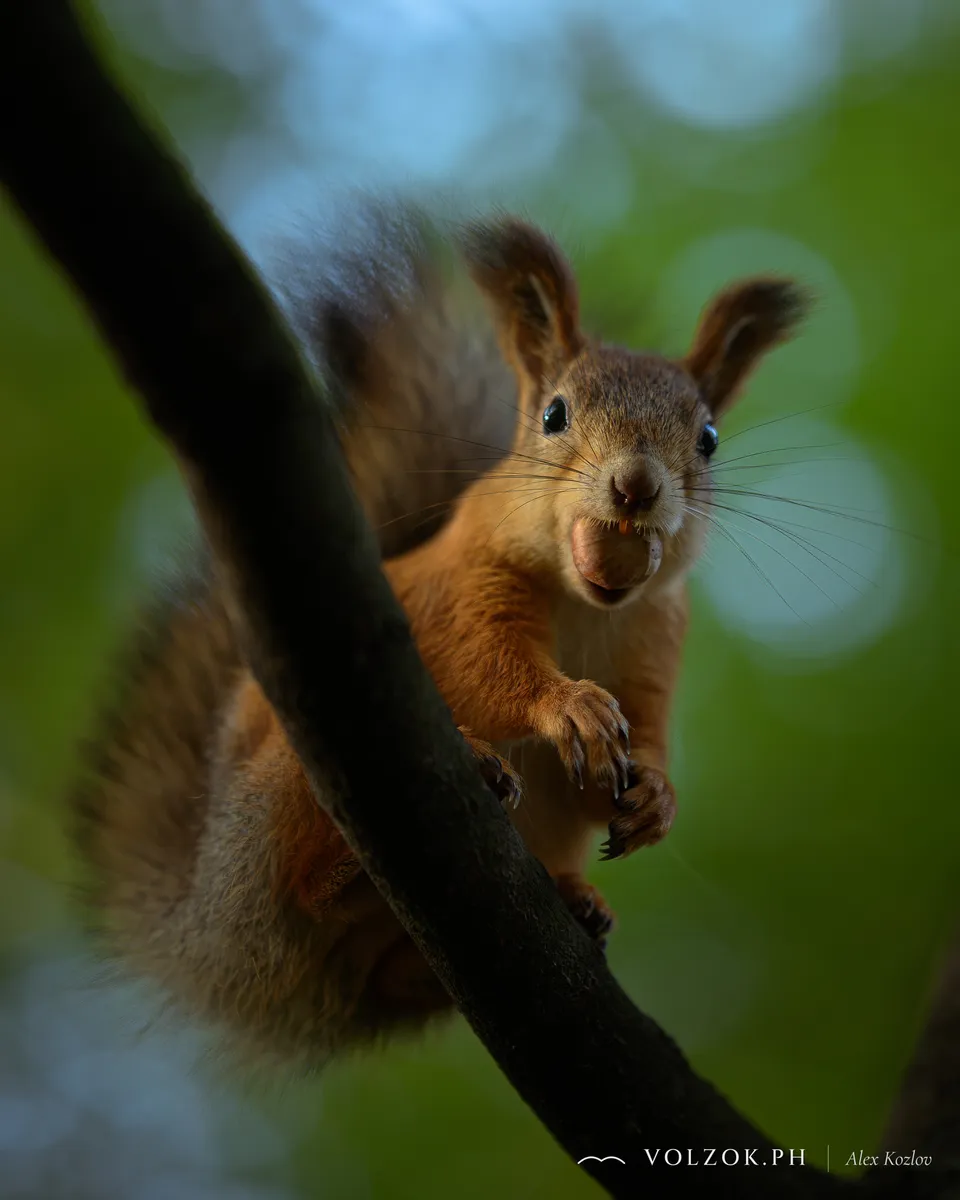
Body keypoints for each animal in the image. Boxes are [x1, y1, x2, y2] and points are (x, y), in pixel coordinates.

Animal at [71, 203, 808, 1072]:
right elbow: (487, 666)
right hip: (291, 786)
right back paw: (363, 855)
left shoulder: (655, 641)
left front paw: (656, 795)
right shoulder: (464, 589)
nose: (635, 484)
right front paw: (567, 706)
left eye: (710, 438)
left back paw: (572, 903)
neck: (588, 606)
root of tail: (209, 935)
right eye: (554, 415)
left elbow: (641, 740)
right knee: (305, 884)